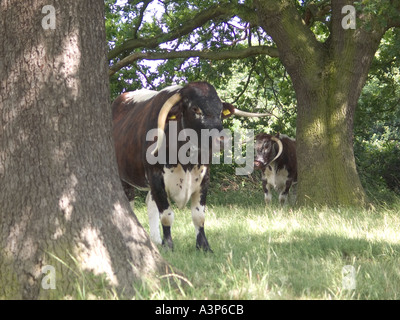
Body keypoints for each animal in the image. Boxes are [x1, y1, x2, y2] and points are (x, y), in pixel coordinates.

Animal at [112, 81, 268, 251]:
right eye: (195, 109)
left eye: (220, 110)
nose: (222, 140)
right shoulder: (156, 177)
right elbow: (166, 215)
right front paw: (169, 246)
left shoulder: (204, 177)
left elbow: (199, 216)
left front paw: (204, 247)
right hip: (126, 179)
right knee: (129, 205)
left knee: (150, 203)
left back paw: (156, 239)